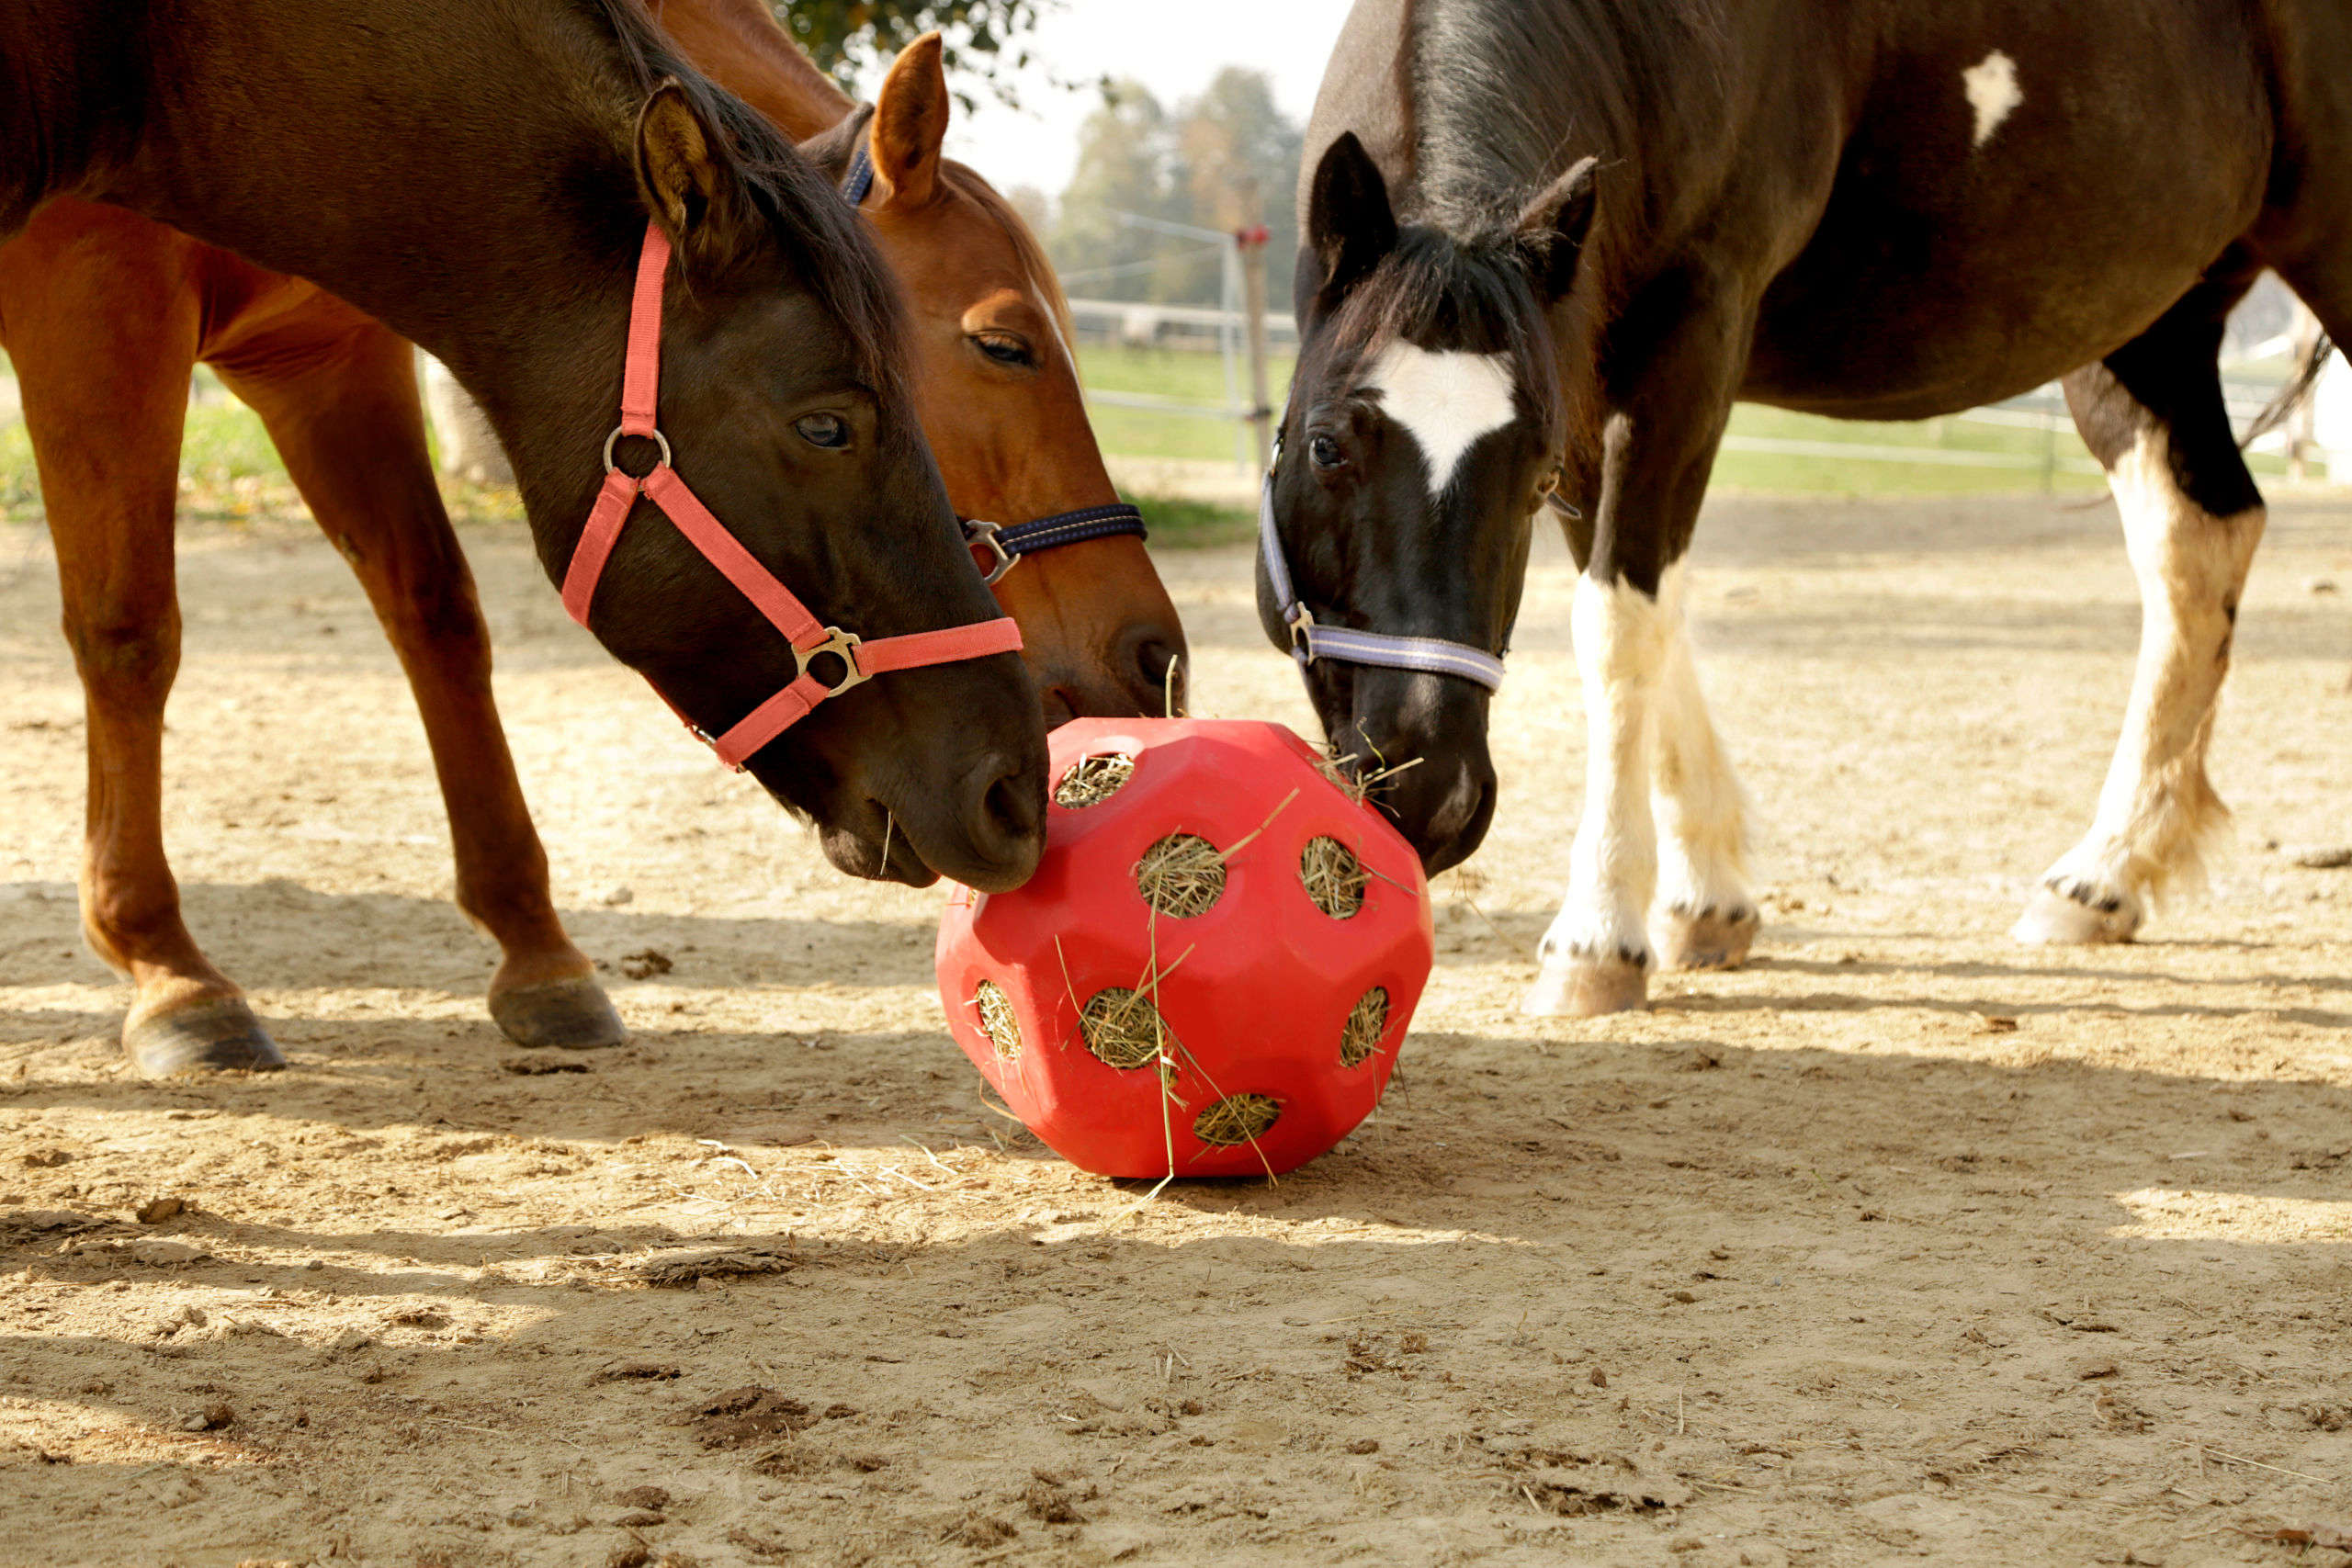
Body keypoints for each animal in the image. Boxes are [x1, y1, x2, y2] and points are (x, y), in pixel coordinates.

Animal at [0, 0, 1048, 1075]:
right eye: (827, 425)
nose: (1015, 792)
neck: (150, 50)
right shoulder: (96, 305)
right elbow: (131, 631)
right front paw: (171, 972)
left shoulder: (318, 356)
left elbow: (438, 614)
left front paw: (538, 955)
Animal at [1261, 0, 2352, 1016]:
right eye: (1325, 446)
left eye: (1529, 476)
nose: (1430, 792)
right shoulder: (1588, 370)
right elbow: (1642, 612)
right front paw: (1706, 899)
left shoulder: (1688, 339)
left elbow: (1620, 626)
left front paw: (1598, 939)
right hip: (2151, 327)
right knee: (2200, 544)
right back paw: (2105, 875)